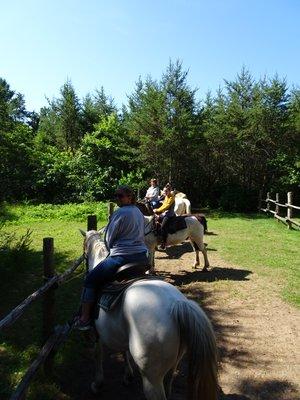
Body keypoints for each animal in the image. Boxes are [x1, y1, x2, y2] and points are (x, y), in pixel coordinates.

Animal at [80, 231, 218, 400]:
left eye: (84, 250)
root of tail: (177, 305)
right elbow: (124, 351)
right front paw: (128, 375)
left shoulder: (97, 333)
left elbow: (97, 354)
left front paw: (97, 384)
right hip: (173, 365)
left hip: (151, 378)